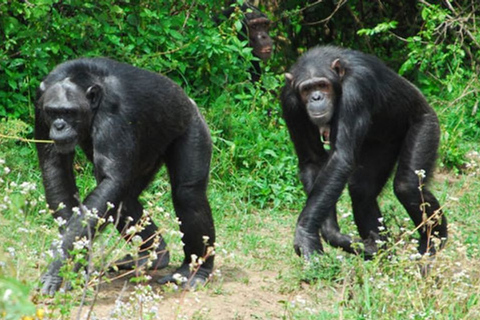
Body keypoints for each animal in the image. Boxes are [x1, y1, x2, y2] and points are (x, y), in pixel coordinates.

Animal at [36, 58, 217, 296]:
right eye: (53, 111)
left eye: (69, 112)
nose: (59, 125)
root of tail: (190, 101)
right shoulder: (40, 109)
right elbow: (56, 171)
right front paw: (77, 261)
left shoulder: (115, 112)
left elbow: (112, 180)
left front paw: (62, 263)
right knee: (125, 199)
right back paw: (154, 255)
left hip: (193, 126)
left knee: (188, 195)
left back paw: (195, 270)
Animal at [280, 45, 448, 260]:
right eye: (306, 89)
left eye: (322, 85)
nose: (316, 97)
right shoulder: (289, 102)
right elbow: (313, 160)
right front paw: (331, 233)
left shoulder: (356, 89)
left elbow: (340, 159)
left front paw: (305, 233)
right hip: (381, 145)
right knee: (362, 189)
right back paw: (381, 249)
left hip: (426, 124)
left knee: (408, 186)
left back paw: (433, 242)